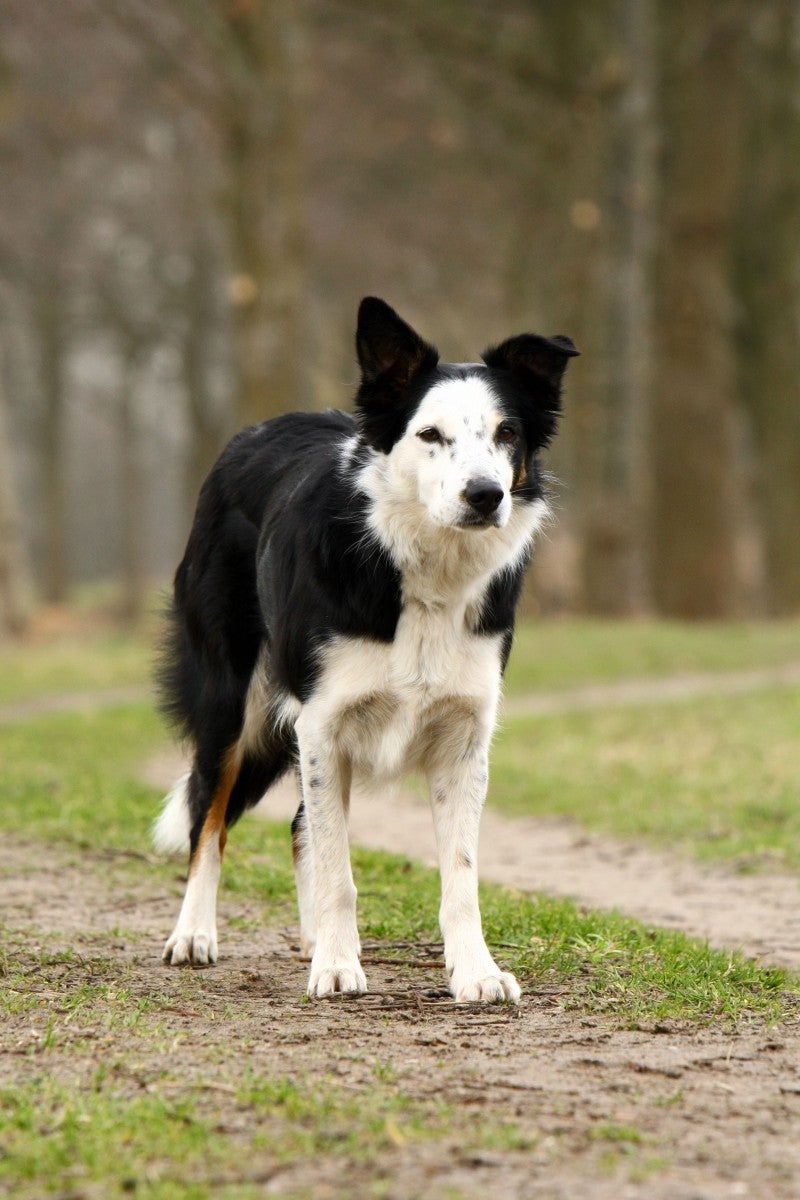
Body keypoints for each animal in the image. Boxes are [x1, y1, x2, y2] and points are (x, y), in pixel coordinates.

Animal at [154, 296, 578, 1003]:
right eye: (430, 435)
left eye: (506, 434)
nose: (486, 495)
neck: (424, 571)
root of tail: (249, 435)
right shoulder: (323, 722)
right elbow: (337, 868)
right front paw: (336, 965)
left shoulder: (463, 739)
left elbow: (460, 874)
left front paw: (475, 971)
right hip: (230, 702)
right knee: (208, 819)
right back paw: (194, 934)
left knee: (298, 825)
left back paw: (310, 938)